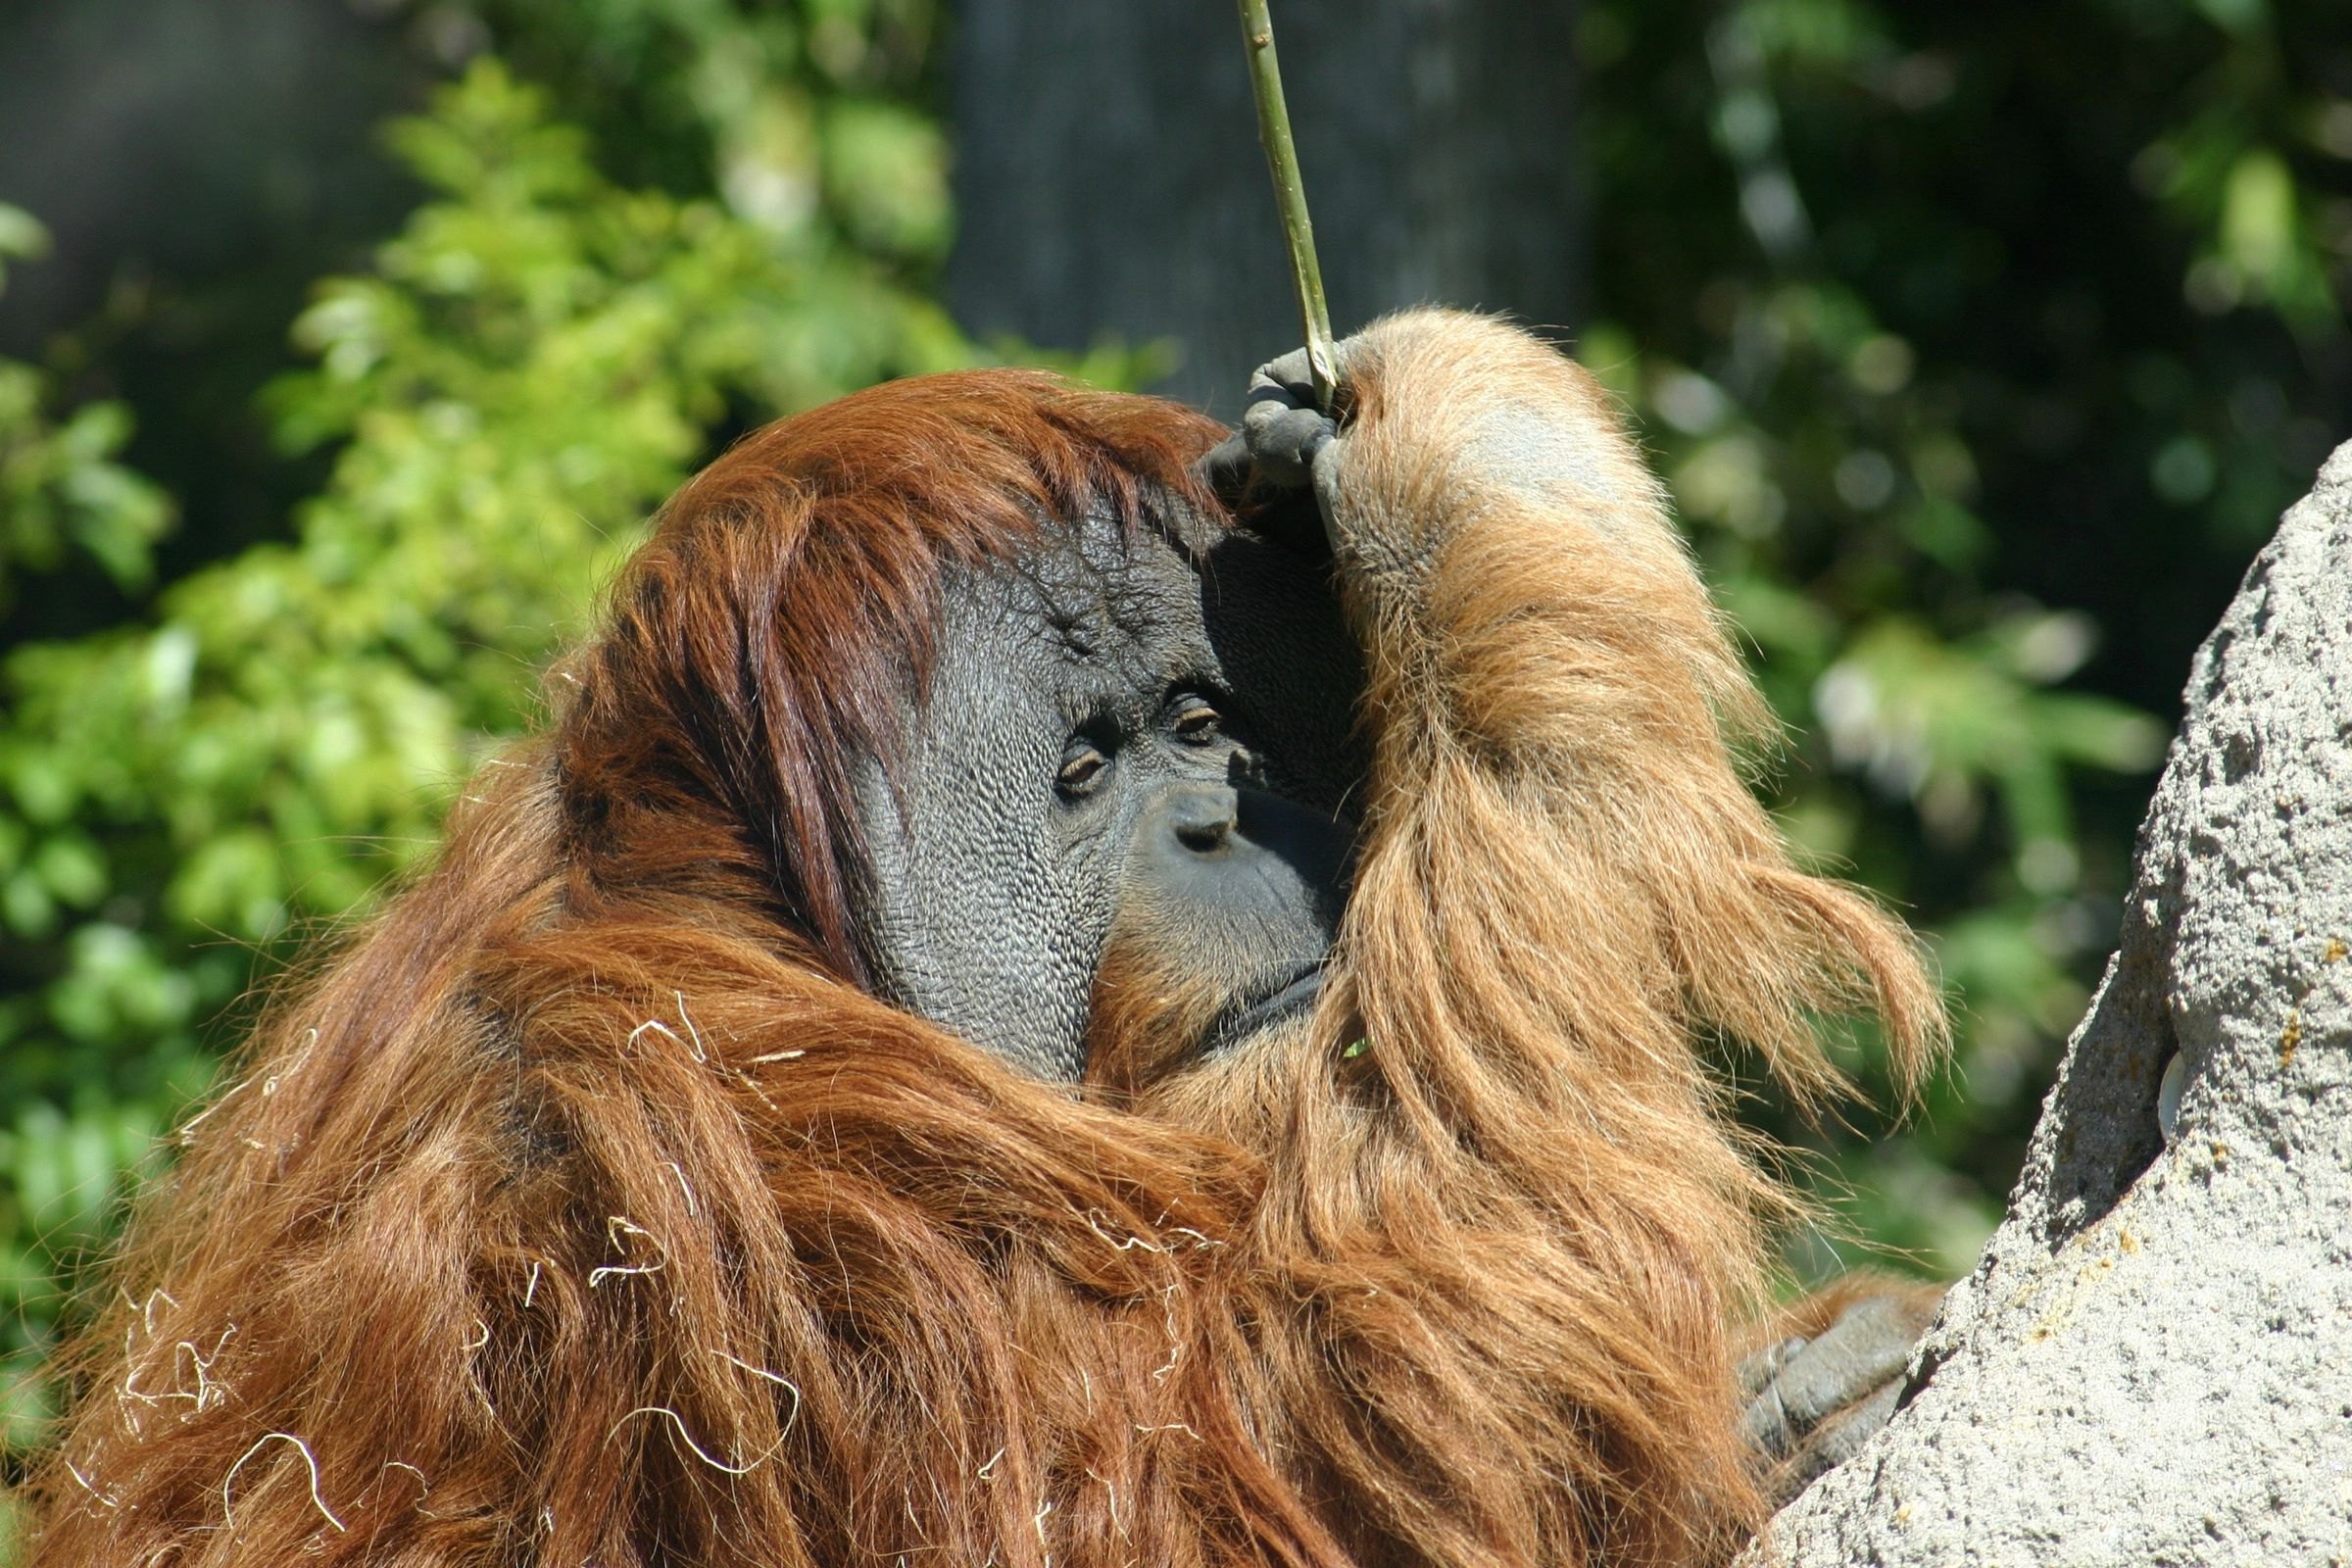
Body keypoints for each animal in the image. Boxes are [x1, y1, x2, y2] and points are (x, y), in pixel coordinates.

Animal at [25, 309, 1941, 1568]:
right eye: (1083, 768)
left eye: (1205, 721)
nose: (1221, 820)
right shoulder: (717, 1134)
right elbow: (1344, 1443)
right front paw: (1444, 450)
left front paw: (1805, 1379)